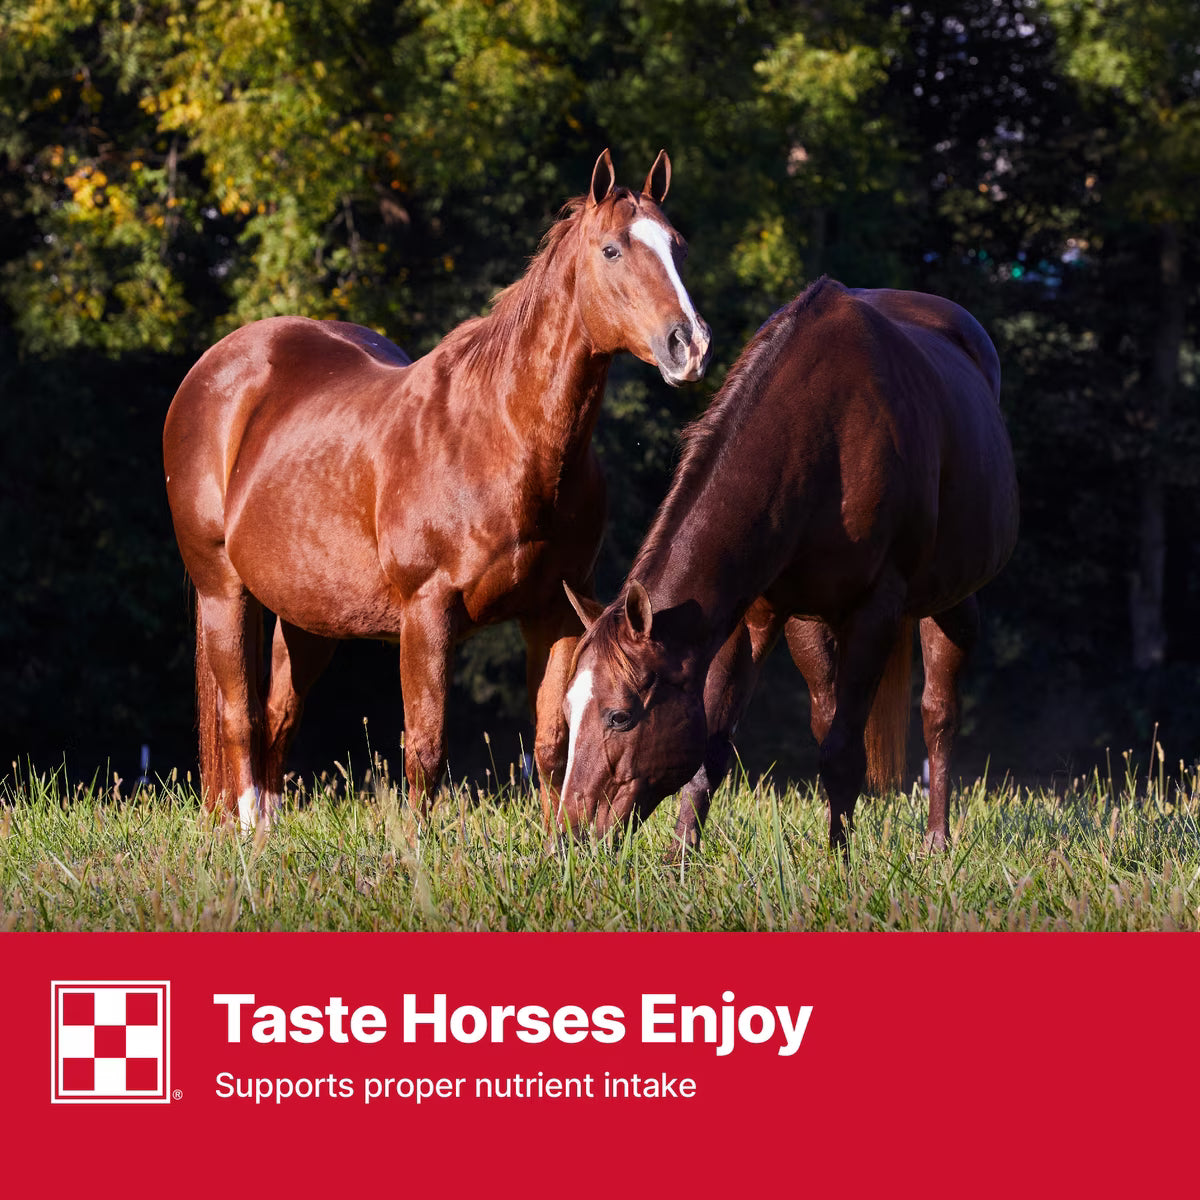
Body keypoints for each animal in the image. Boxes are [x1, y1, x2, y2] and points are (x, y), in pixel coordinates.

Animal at [163, 149, 712, 832]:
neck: (502, 439)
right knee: (242, 718)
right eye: (612, 249)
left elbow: (553, 743)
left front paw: (556, 845)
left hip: (309, 618)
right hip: (223, 590)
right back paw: (248, 835)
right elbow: (425, 750)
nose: (689, 344)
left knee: (277, 720)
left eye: (679, 247)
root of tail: (213, 370)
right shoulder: (427, 613)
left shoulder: (556, 610)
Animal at [559, 277, 1019, 852]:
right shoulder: (755, 616)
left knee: (938, 715)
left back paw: (936, 839)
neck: (821, 433)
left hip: (951, 601)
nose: (568, 836)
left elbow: (845, 754)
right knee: (827, 714)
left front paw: (838, 858)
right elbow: (712, 746)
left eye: (619, 716)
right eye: (567, 711)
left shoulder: (875, 613)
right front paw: (681, 856)